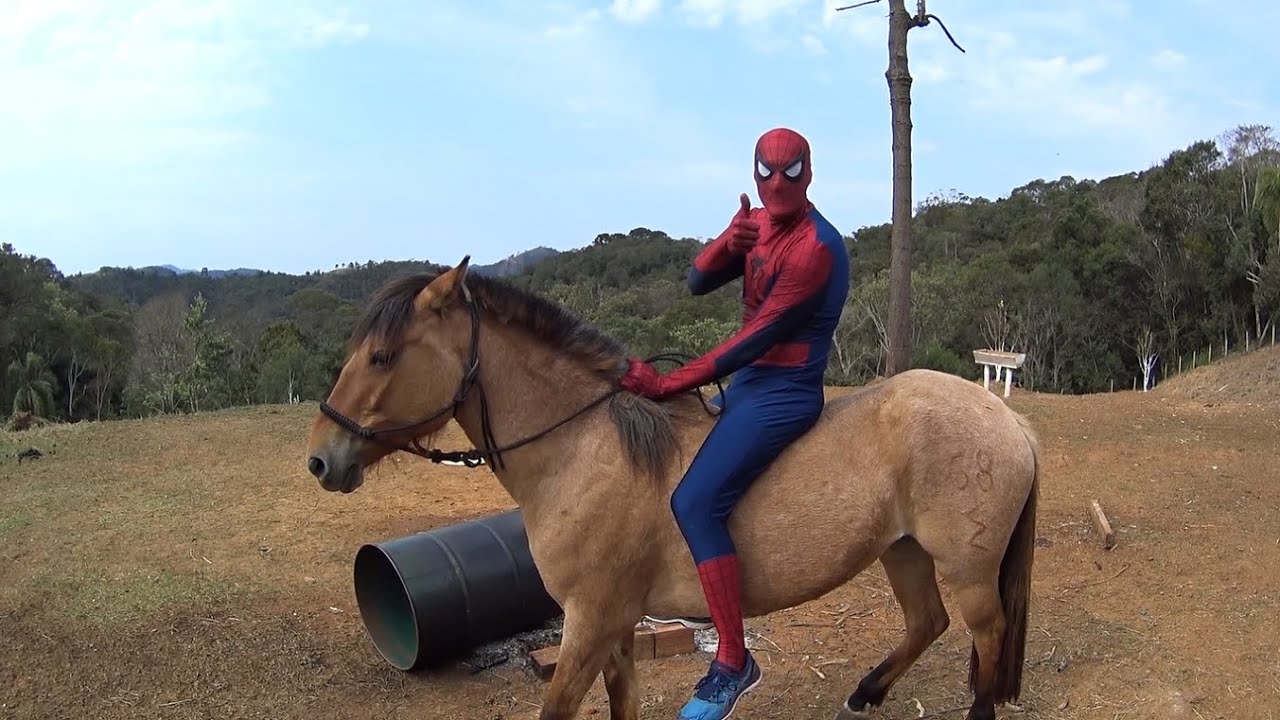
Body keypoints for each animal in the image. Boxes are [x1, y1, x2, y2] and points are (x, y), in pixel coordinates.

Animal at [302, 257, 1039, 717]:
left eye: (381, 357)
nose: (320, 459)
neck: (585, 447)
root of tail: (1004, 417)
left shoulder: (591, 619)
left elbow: (559, 707)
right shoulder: (616, 624)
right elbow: (622, 704)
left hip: (969, 569)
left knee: (987, 635)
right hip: (903, 549)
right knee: (927, 622)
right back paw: (866, 693)